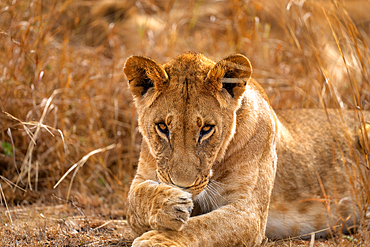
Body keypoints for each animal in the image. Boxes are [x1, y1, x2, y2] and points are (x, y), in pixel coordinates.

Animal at [123, 52, 368, 247]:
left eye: (206, 129)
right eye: (162, 127)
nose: (182, 186)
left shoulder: (249, 213)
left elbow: (202, 226)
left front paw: (156, 239)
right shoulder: (142, 177)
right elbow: (134, 199)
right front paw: (168, 203)